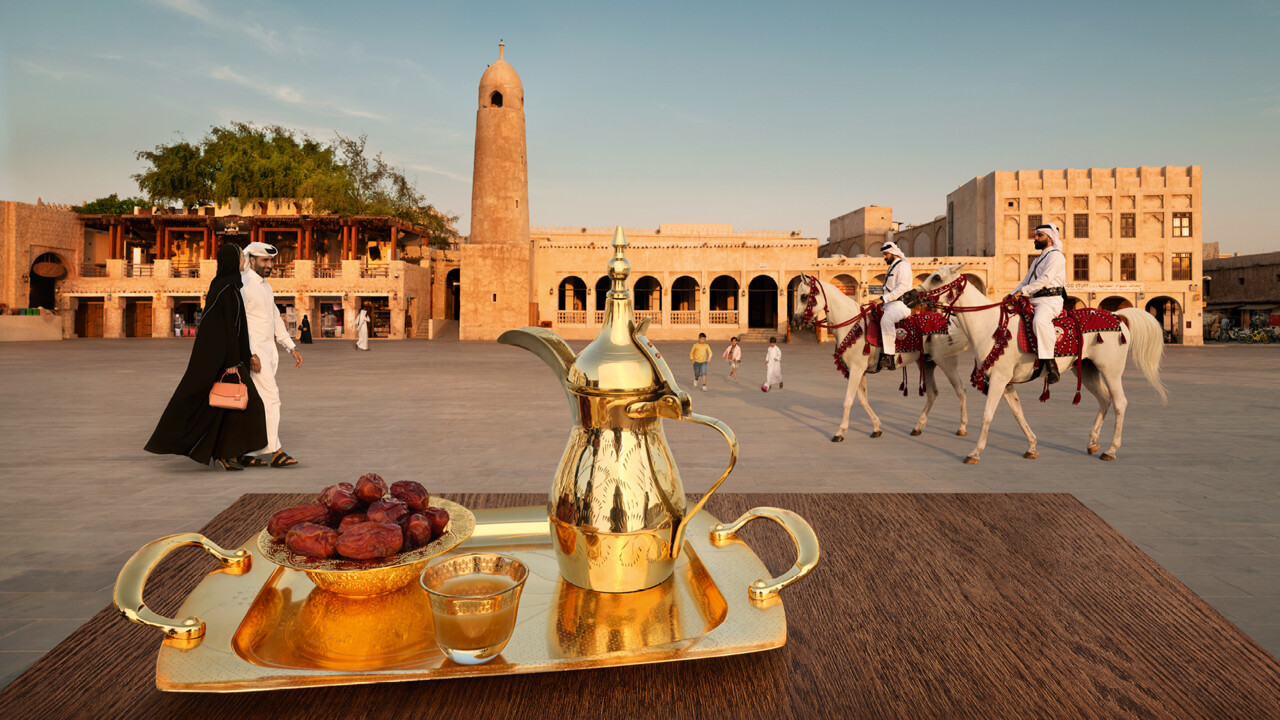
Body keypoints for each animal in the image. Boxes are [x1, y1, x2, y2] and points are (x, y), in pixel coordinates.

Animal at [788, 275, 967, 440]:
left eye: (803, 296)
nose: (795, 320)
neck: (851, 324)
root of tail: (950, 321)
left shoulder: (856, 369)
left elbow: (848, 400)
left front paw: (840, 432)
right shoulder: (859, 370)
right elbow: (862, 399)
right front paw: (876, 427)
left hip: (946, 361)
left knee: (960, 389)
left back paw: (962, 427)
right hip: (928, 363)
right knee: (932, 393)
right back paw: (918, 427)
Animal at [911, 262, 1172, 458]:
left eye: (936, 277)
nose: (910, 295)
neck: (989, 325)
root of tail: (1118, 316)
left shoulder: (998, 378)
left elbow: (987, 415)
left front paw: (975, 452)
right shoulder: (1006, 382)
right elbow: (1018, 413)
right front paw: (1032, 446)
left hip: (1111, 370)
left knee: (1120, 403)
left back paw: (1111, 450)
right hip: (1087, 370)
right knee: (1104, 400)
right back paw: (1092, 442)